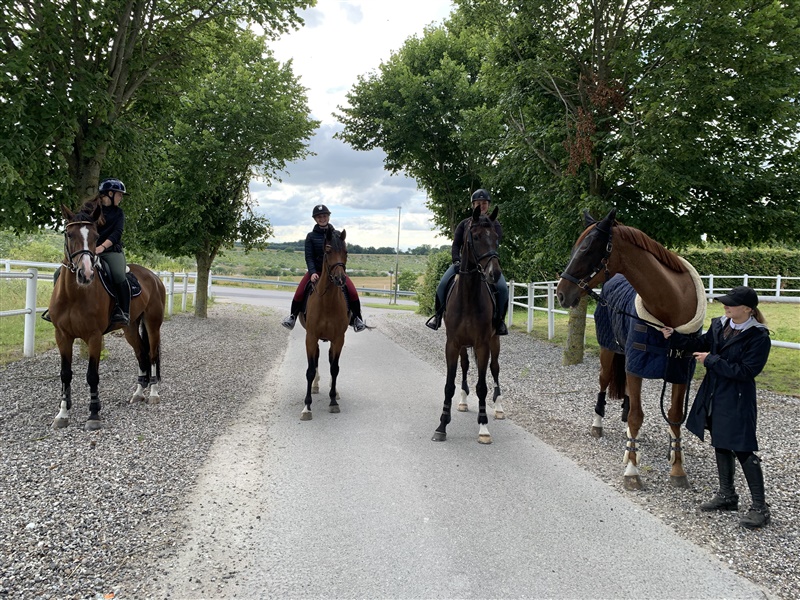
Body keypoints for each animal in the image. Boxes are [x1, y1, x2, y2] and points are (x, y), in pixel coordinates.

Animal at [48, 203, 166, 430]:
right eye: (69, 234)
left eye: (95, 236)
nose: (85, 274)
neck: (74, 295)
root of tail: (154, 277)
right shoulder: (62, 336)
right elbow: (65, 374)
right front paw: (62, 414)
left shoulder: (94, 337)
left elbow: (92, 376)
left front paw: (94, 415)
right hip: (130, 328)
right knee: (141, 355)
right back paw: (138, 393)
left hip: (152, 324)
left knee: (152, 355)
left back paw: (154, 394)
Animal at [298, 227, 350, 421]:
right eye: (327, 251)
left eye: (346, 252)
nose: (340, 279)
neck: (327, 302)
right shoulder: (311, 337)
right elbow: (310, 369)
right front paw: (307, 407)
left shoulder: (338, 339)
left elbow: (335, 368)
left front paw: (333, 401)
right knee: (316, 360)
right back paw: (315, 386)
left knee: (328, 359)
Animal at [433, 205, 502, 444]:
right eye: (476, 236)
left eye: (497, 238)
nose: (494, 273)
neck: (469, 297)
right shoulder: (452, 344)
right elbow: (448, 385)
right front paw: (442, 425)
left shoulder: (482, 345)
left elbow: (482, 386)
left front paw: (483, 428)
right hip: (463, 345)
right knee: (464, 366)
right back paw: (463, 401)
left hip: (495, 342)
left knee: (495, 369)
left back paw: (498, 407)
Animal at [556, 208, 705, 489]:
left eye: (587, 248)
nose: (561, 293)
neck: (672, 309)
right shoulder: (636, 365)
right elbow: (637, 415)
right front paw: (632, 471)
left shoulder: (680, 371)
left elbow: (674, 415)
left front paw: (678, 468)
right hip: (609, 351)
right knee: (604, 382)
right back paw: (598, 425)